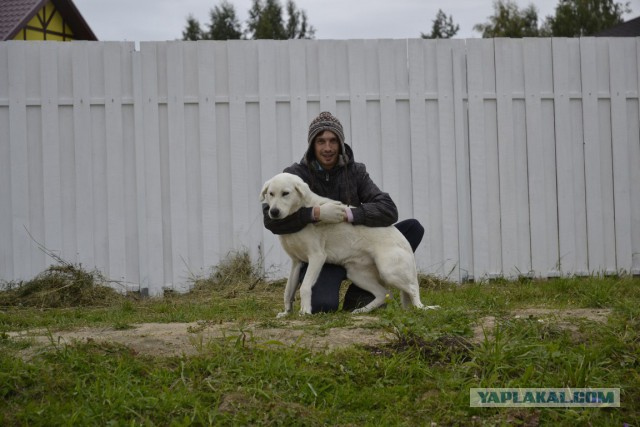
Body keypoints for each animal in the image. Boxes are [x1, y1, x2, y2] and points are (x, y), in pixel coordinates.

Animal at [258, 173, 438, 318]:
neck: (301, 210)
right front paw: (286, 313)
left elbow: (305, 287)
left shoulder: (316, 257)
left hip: (388, 271)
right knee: (385, 293)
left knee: (412, 290)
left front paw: (305, 311)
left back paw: (421, 308)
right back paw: (361, 310)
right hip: (356, 274)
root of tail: (407, 246)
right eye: (271, 194)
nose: (273, 212)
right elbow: (288, 291)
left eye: (286, 193)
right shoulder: (297, 263)